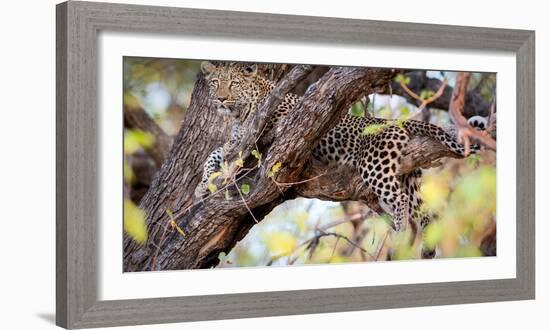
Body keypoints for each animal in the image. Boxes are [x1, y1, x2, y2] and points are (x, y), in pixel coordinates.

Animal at [197, 61, 478, 258]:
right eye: (215, 82)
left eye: (234, 83)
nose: (221, 98)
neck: (239, 112)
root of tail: (394, 122)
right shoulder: (236, 141)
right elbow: (214, 154)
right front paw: (202, 186)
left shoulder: (272, 128)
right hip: (409, 175)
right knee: (425, 210)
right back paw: (427, 249)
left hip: (375, 167)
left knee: (400, 200)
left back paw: (400, 235)